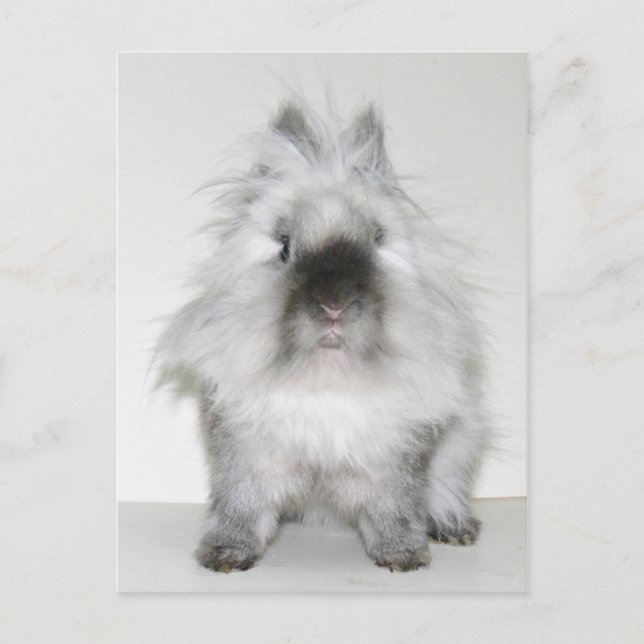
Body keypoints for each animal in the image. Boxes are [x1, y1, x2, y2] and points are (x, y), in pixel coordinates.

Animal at [158, 99, 489, 573]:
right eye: (284, 247)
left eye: (375, 242)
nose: (335, 304)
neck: (327, 379)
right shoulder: (247, 459)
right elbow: (241, 508)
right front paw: (224, 556)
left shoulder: (393, 464)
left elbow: (394, 509)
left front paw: (403, 557)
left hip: (460, 448)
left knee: (446, 492)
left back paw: (455, 529)